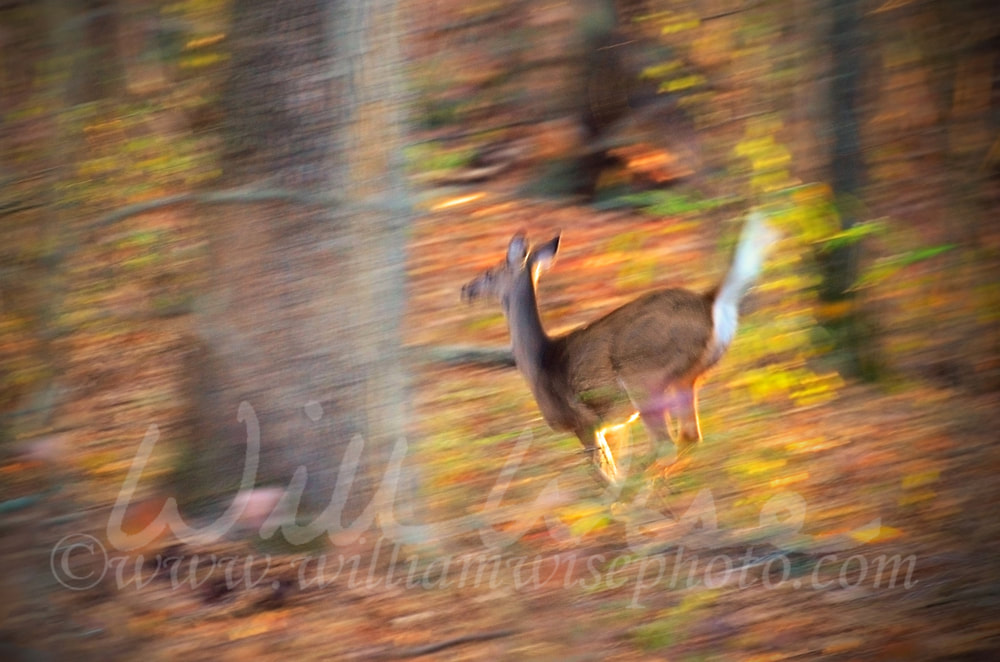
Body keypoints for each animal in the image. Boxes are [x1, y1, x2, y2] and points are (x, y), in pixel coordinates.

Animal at [462, 214, 780, 488]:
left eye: (489, 273)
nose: (466, 289)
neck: (538, 361)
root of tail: (709, 302)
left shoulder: (582, 422)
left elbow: (603, 475)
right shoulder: (600, 426)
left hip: (645, 376)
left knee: (665, 444)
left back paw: (639, 489)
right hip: (685, 379)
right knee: (689, 436)